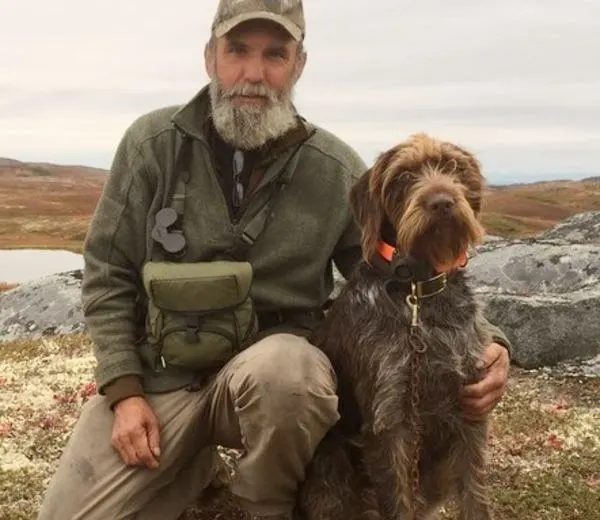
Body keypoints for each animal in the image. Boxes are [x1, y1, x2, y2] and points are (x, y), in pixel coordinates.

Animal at [298, 133, 494, 520]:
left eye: (452, 166)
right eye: (403, 177)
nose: (442, 202)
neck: (420, 292)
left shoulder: (471, 407)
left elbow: (474, 495)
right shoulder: (391, 425)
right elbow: (397, 499)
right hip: (330, 473)